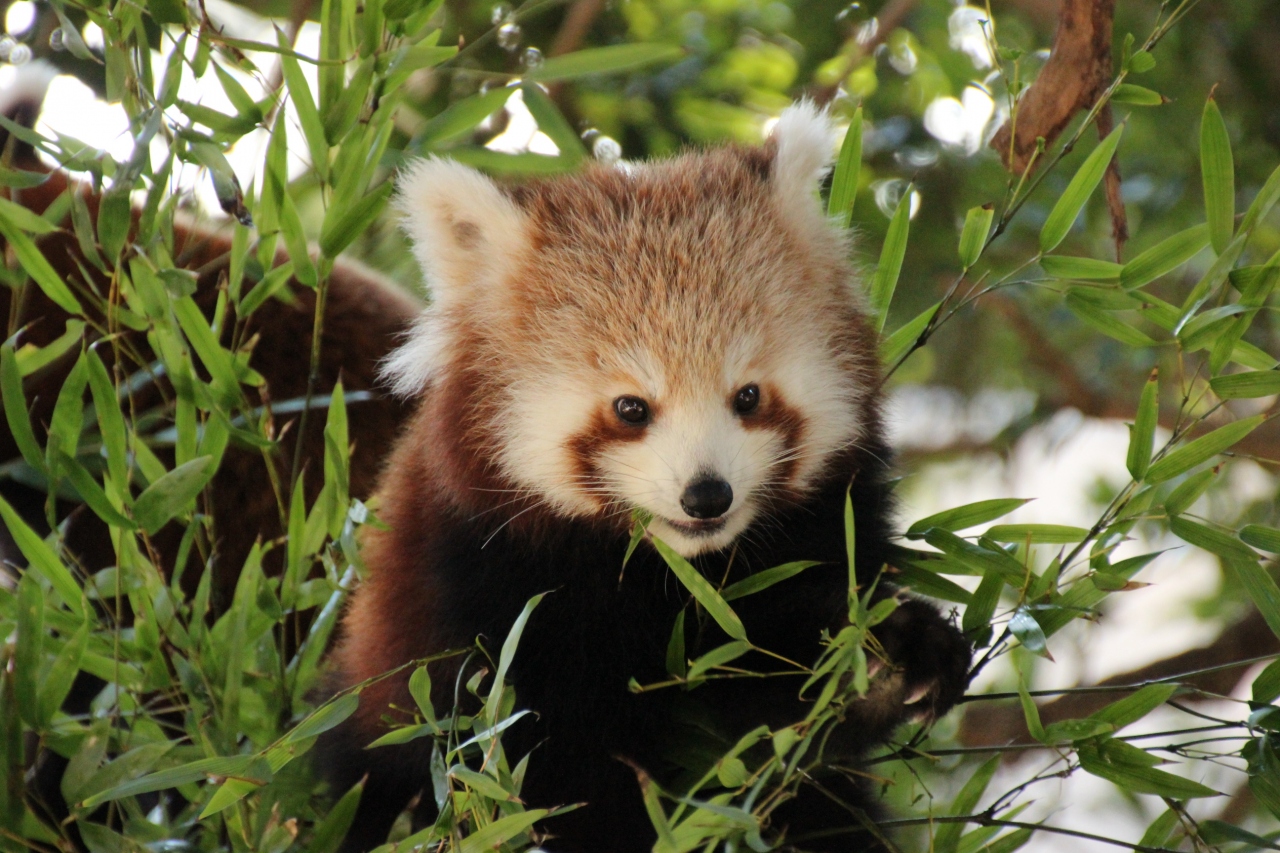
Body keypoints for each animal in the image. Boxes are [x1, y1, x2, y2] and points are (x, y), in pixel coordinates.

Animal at [320, 103, 967, 845]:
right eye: (632, 408)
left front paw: (890, 654)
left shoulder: (808, 542)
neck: (668, 574)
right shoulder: (477, 590)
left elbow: (777, 705)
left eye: (748, 397)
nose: (707, 495)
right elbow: (525, 766)